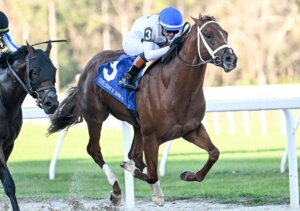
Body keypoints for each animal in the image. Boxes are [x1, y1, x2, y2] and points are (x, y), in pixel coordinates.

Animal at [48, 14, 237, 206]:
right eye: (208, 35)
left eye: (225, 33)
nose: (231, 59)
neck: (174, 88)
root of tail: (89, 65)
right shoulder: (151, 137)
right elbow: (152, 174)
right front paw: (129, 169)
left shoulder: (191, 130)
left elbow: (214, 153)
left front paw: (189, 175)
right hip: (96, 117)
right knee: (95, 150)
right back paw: (116, 190)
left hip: (137, 125)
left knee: (134, 154)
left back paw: (155, 191)